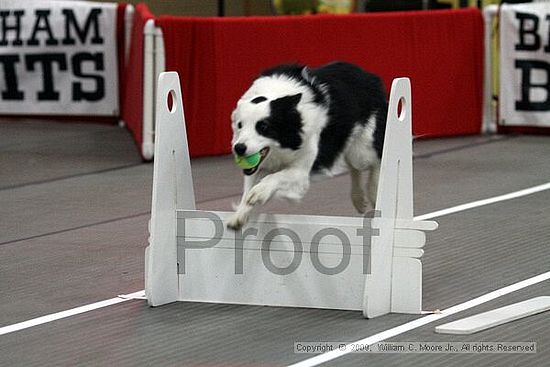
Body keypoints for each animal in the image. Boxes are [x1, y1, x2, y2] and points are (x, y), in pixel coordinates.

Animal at [227, 62, 388, 230]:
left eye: (263, 126)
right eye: (240, 125)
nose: (239, 148)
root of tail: (368, 75)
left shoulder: (301, 171)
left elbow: (276, 176)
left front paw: (260, 192)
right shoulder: (257, 166)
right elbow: (248, 187)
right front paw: (239, 215)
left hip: (361, 152)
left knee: (374, 162)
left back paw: (373, 191)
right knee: (353, 167)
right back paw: (358, 199)